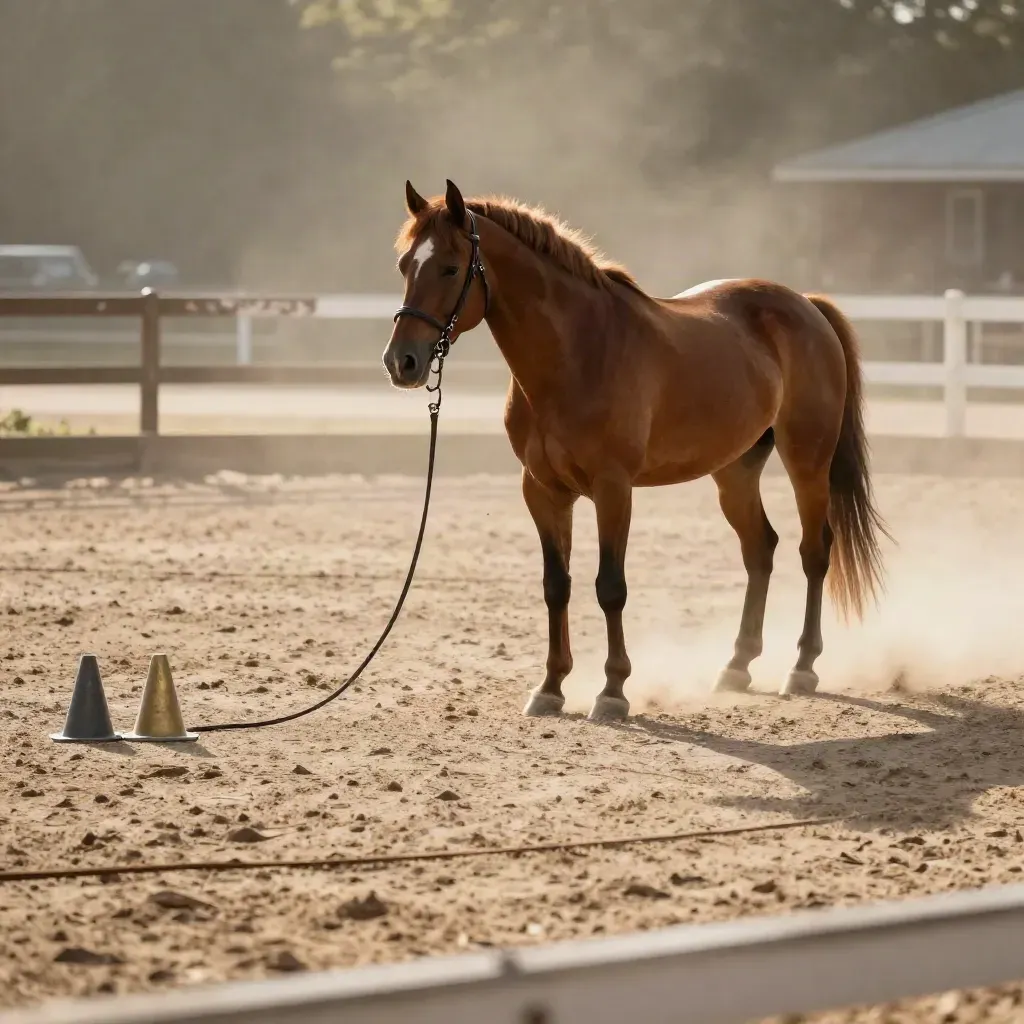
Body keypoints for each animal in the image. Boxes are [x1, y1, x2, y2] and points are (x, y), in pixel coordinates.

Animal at [383, 179, 891, 722]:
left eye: (450, 267)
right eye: (404, 265)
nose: (401, 362)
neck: (577, 354)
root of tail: (806, 305)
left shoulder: (613, 488)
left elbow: (610, 587)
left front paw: (612, 691)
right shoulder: (542, 490)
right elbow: (556, 584)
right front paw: (551, 687)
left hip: (807, 461)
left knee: (814, 552)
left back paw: (801, 668)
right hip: (734, 473)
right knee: (760, 549)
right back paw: (736, 666)